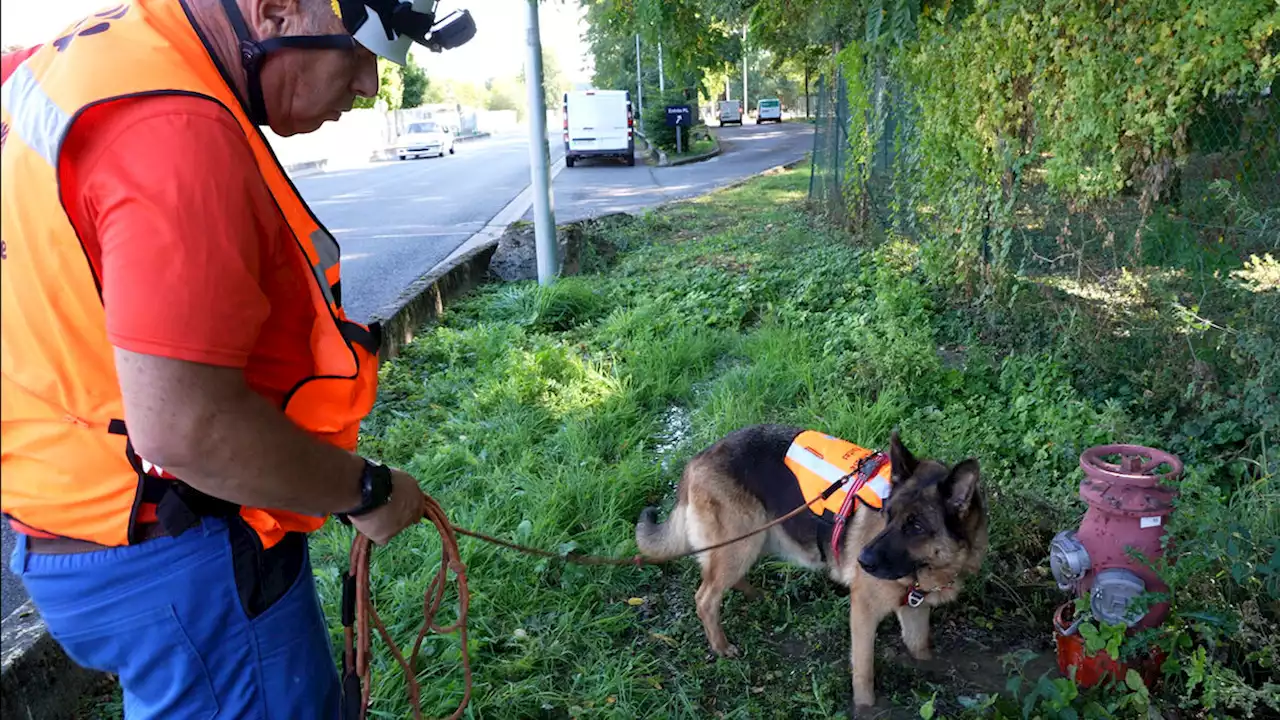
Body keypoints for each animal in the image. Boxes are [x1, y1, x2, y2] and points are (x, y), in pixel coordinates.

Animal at [637, 422, 988, 707]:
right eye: (888, 515)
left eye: (915, 526)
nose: (860, 561)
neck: (931, 568)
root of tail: (696, 460)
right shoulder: (863, 612)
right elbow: (864, 671)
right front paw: (865, 709)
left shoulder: (915, 610)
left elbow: (920, 648)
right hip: (741, 544)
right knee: (705, 597)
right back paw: (722, 646)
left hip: (753, 540)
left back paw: (756, 596)